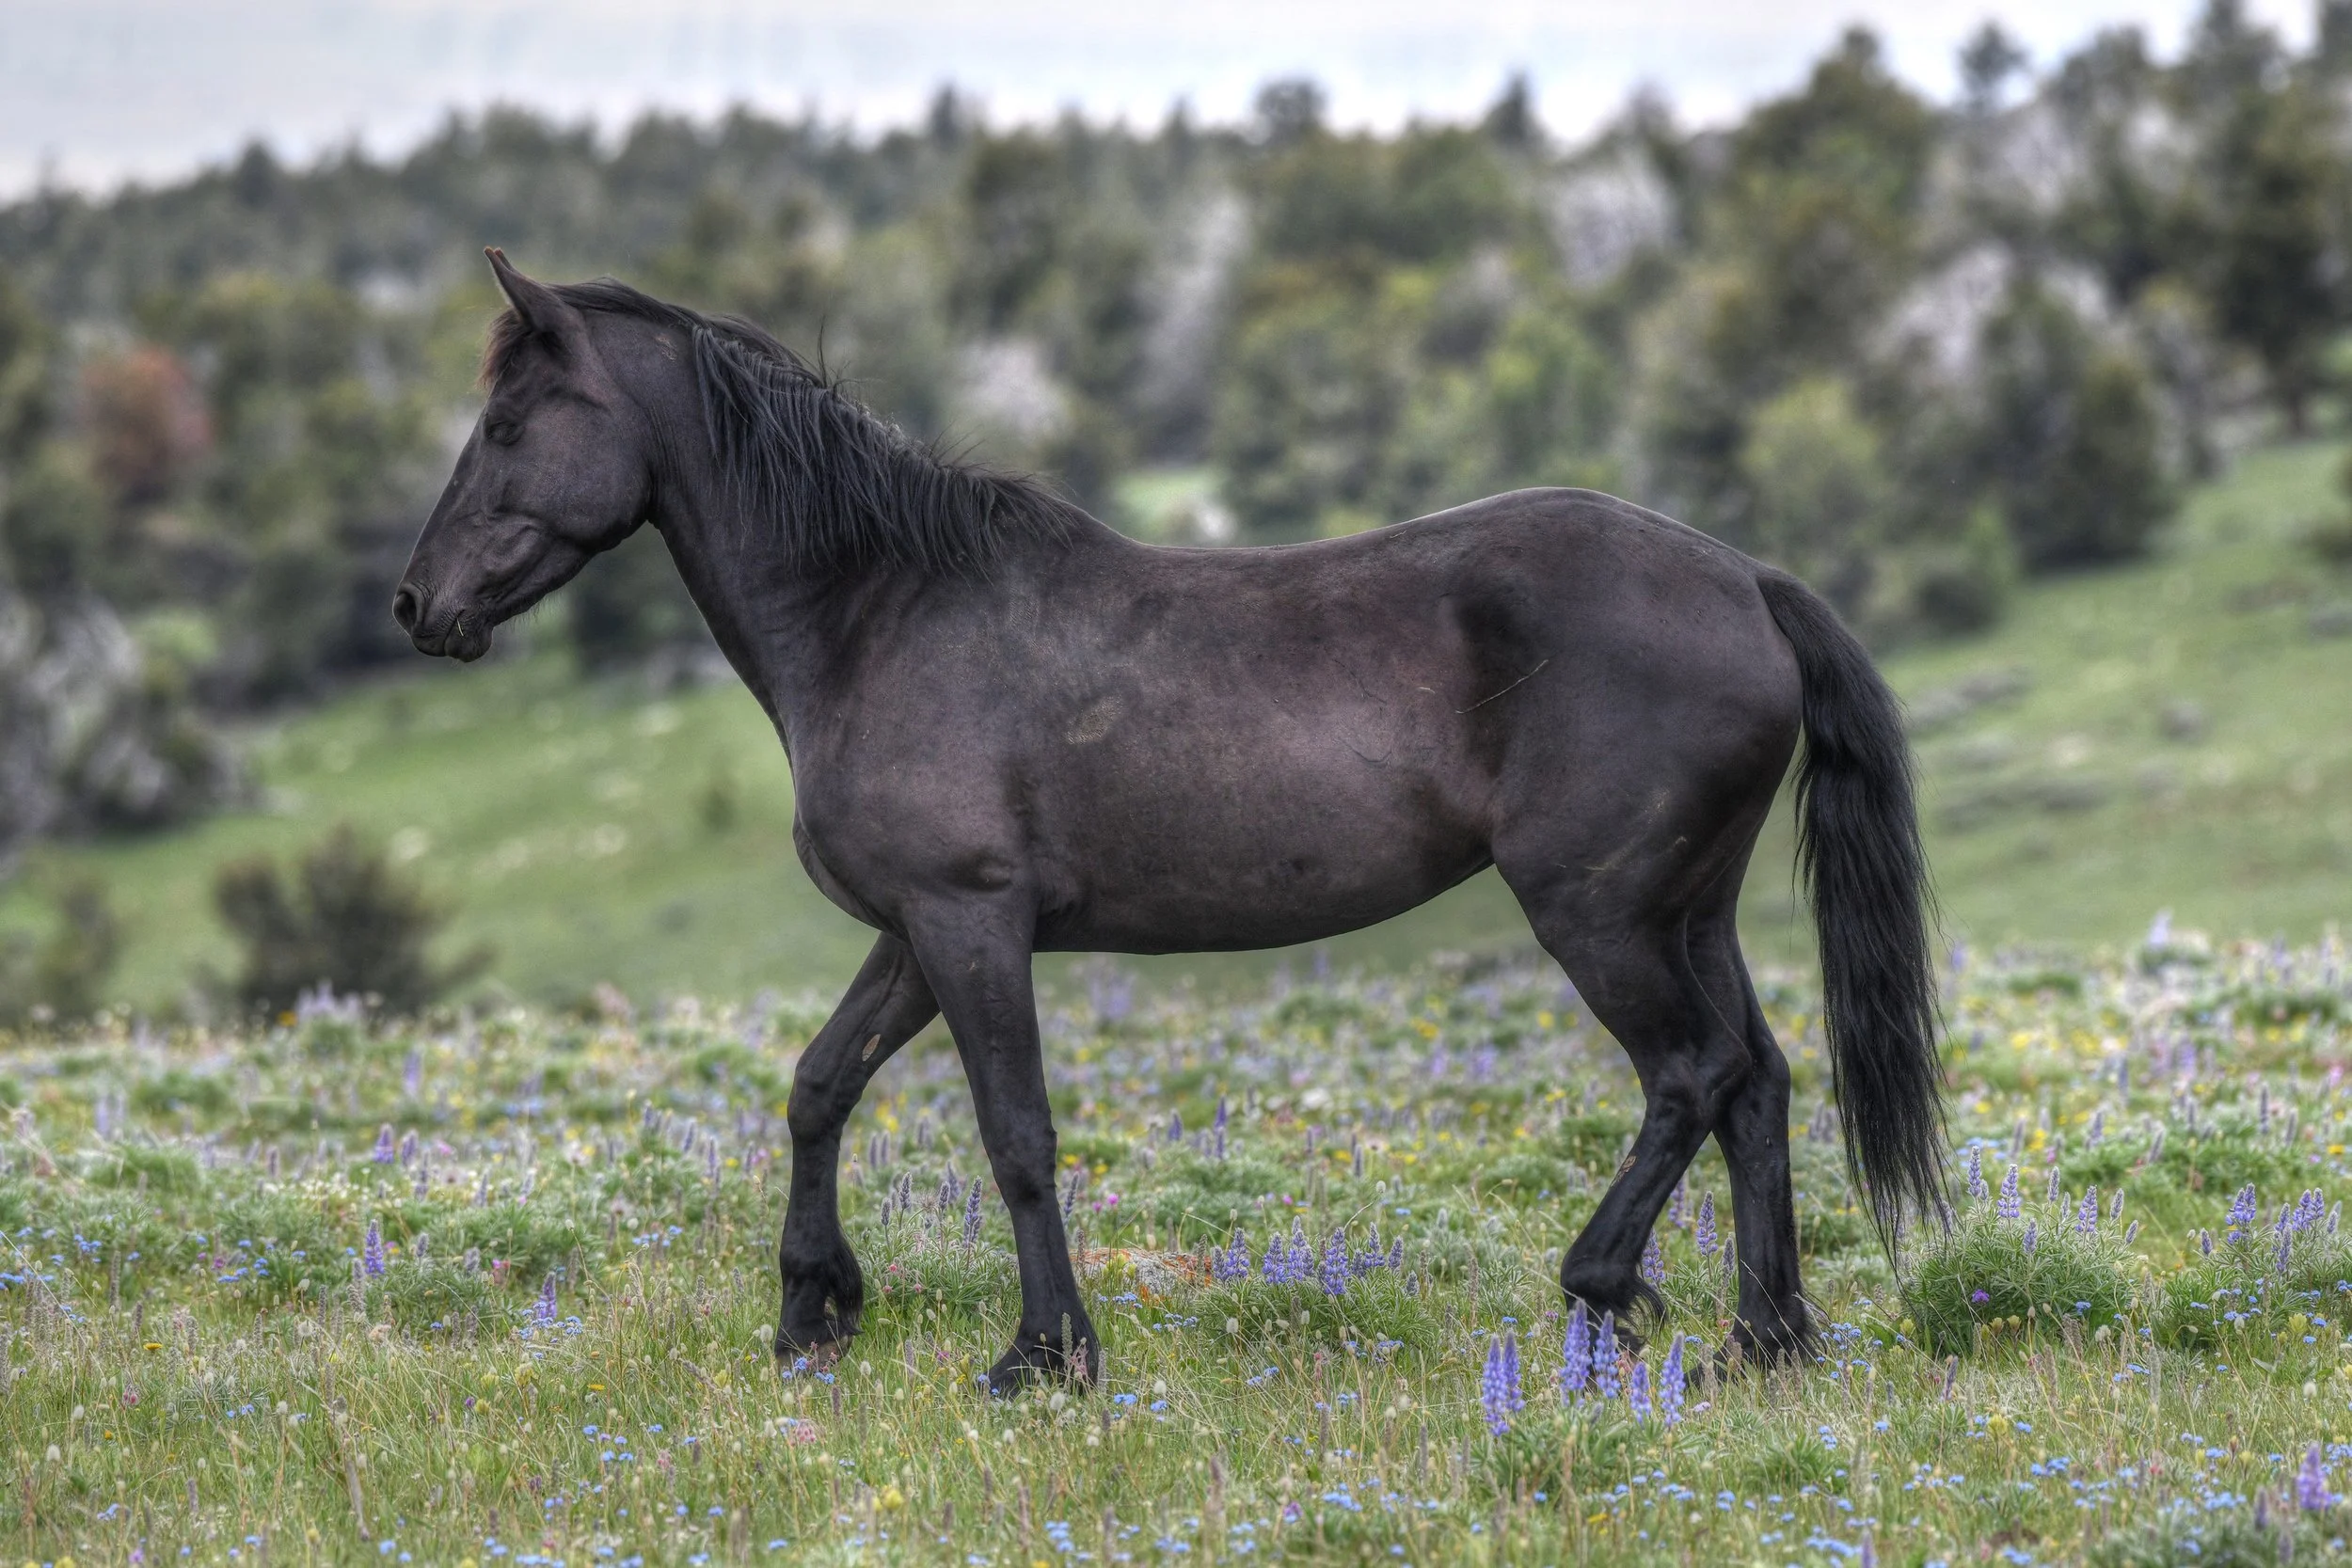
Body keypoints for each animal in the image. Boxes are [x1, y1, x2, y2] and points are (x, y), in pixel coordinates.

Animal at [396, 249, 1946, 1391]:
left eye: (510, 425)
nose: (419, 605)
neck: (879, 609)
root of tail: (1744, 579)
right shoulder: (917, 930)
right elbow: (819, 1085)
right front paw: (813, 1311)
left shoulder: (969, 921)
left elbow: (1015, 1134)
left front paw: (1043, 1355)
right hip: (1689, 908)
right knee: (1758, 1081)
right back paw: (1768, 1336)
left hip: (1600, 913)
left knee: (1692, 1075)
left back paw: (1609, 1288)